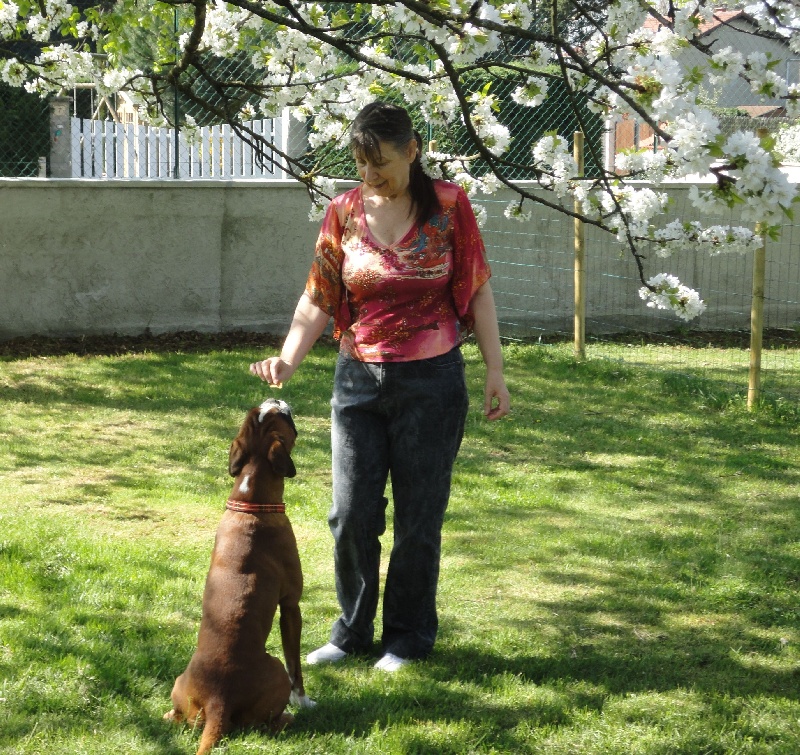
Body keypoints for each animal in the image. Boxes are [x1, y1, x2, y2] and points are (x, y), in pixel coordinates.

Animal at [164, 398, 314, 752]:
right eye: (280, 415)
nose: (275, 398)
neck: (251, 501)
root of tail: (219, 699)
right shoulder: (291, 606)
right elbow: (296, 665)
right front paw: (304, 700)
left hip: (181, 689)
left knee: (179, 718)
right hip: (274, 669)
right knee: (269, 721)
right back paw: (290, 717)